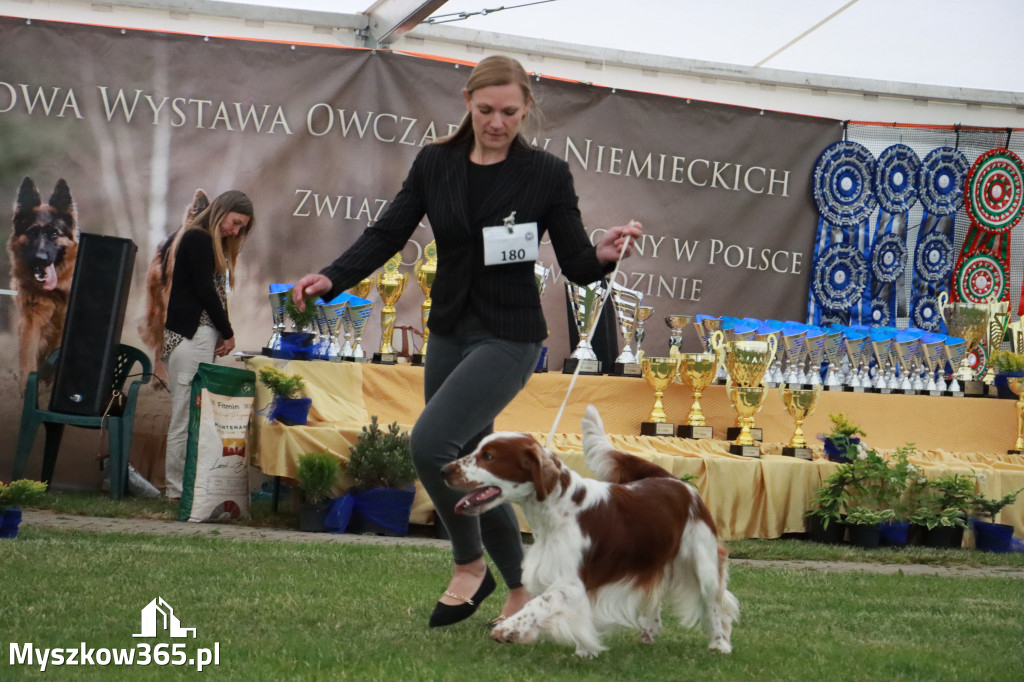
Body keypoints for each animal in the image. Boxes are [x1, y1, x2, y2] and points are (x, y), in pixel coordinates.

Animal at [440, 405, 737, 655]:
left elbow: (539, 602)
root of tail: (675, 481)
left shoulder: (571, 582)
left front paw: (508, 628)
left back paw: (720, 644)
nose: (443, 470)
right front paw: (583, 650)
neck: (557, 509)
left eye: (488, 456)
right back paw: (649, 632)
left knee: (714, 603)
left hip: (704, 562)